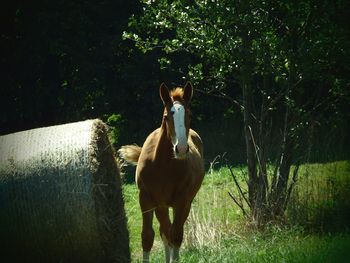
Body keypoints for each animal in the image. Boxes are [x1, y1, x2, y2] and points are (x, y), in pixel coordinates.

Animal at [119, 83, 205, 263]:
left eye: (189, 115)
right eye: (166, 116)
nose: (181, 149)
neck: (162, 166)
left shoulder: (181, 201)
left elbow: (176, 235)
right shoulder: (146, 199)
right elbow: (147, 237)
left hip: (184, 202)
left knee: (171, 232)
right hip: (161, 205)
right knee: (164, 231)